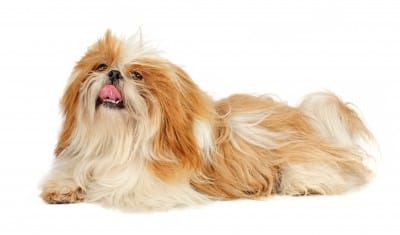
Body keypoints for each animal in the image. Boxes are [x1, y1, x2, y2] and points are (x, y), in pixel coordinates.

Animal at [41, 30, 376, 211]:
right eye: (100, 66)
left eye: (136, 74)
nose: (113, 73)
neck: (117, 138)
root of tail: (305, 120)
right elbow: (72, 170)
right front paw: (64, 188)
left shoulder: (149, 184)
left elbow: (114, 185)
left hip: (301, 155)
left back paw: (305, 183)